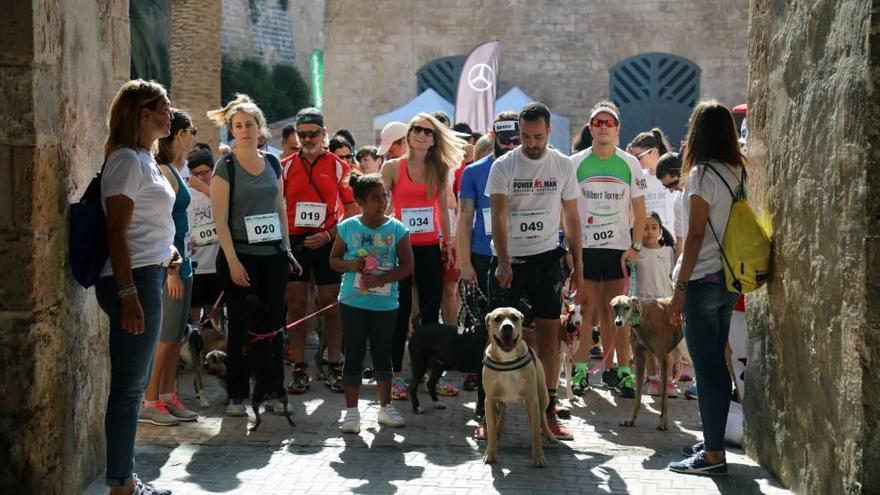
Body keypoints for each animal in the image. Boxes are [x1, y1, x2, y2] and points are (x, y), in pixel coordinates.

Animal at [239, 296, 294, 432]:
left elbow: (243, 349)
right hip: (284, 395)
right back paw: (291, 422)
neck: (258, 328)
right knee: (285, 412)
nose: (249, 294)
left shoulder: (244, 346)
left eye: (248, 299)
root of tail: (271, 391)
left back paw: (253, 427)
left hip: (255, 399)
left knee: (259, 419)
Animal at [482, 308, 556, 466]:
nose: (507, 327)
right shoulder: (489, 400)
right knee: (503, 411)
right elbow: (490, 429)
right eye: (497, 318)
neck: (507, 359)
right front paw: (490, 453)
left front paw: (538, 457)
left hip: (543, 396)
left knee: (542, 417)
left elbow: (535, 432)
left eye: (514, 318)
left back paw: (550, 435)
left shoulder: (532, 399)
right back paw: (499, 429)